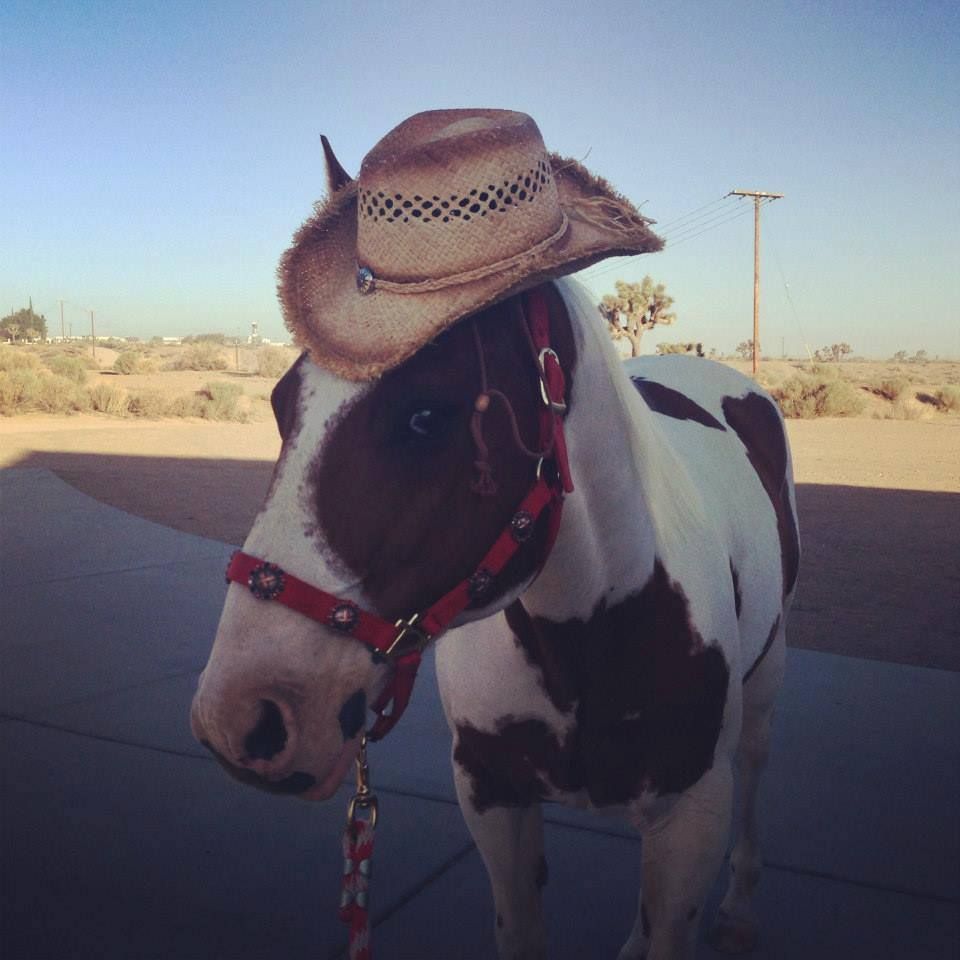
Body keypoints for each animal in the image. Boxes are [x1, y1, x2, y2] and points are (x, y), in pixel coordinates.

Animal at [190, 272, 799, 960]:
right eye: (280, 404)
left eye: (426, 415)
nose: (239, 716)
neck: (585, 639)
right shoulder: (491, 793)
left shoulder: (693, 813)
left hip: (765, 685)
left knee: (754, 766)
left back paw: (738, 908)